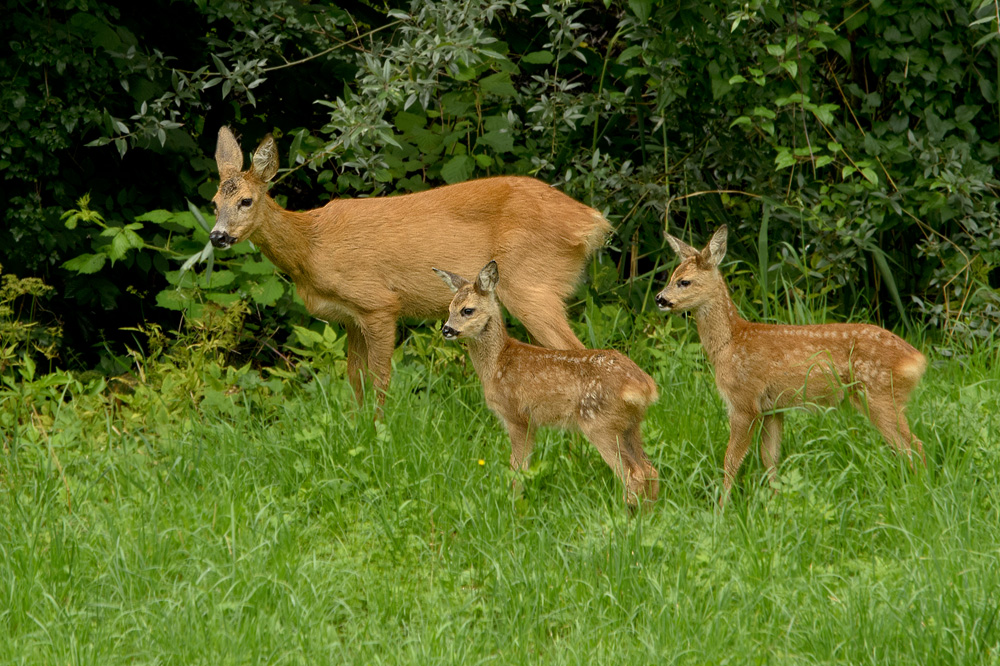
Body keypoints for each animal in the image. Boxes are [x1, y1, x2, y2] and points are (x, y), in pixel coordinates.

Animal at [209, 126, 608, 404]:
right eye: (214, 203)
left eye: (246, 201)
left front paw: (378, 429)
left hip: (531, 282)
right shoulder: (350, 317)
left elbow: (381, 377)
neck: (312, 246)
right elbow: (355, 378)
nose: (217, 236)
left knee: (576, 349)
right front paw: (356, 425)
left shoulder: (379, 303)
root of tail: (590, 222)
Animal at [434, 260, 660, 504]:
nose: (446, 329)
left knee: (633, 474)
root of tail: (643, 386)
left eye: (467, 310)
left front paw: (514, 504)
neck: (497, 363)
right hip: (631, 424)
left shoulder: (518, 417)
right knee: (650, 470)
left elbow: (518, 470)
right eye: (449, 309)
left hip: (600, 423)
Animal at [656, 226, 928, 500]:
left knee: (913, 444)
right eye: (672, 275)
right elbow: (770, 458)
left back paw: (918, 489)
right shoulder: (772, 408)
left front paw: (722, 505)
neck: (729, 344)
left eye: (684, 281)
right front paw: (775, 500)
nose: (659, 299)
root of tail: (917, 359)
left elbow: (731, 460)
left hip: (880, 394)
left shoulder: (744, 402)